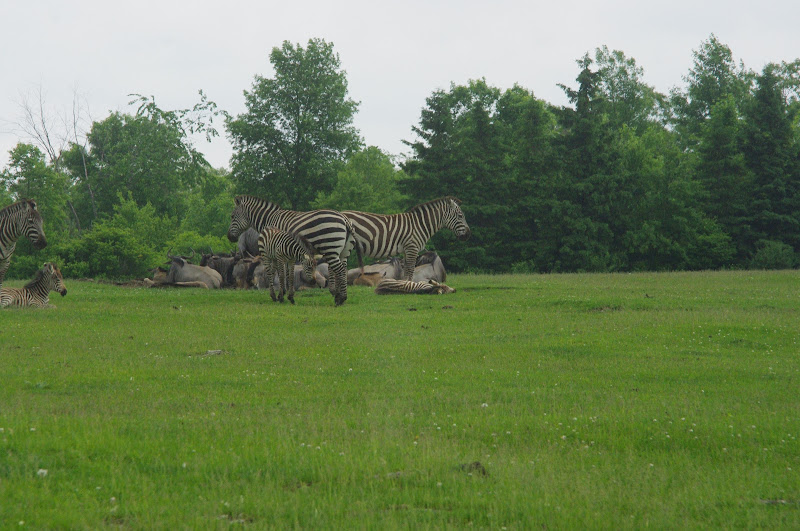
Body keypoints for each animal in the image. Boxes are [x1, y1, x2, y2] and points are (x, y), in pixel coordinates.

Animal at [227, 195, 362, 306]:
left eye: (232, 216)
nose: (229, 237)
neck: (269, 220)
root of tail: (345, 219)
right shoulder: (284, 251)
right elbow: (287, 273)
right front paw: (287, 294)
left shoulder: (275, 248)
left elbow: (277, 272)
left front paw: (280, 294)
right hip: (343, 252)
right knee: (343, 269)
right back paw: (339, 297)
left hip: (330, 247)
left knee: (339, 270)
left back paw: (341, 298)